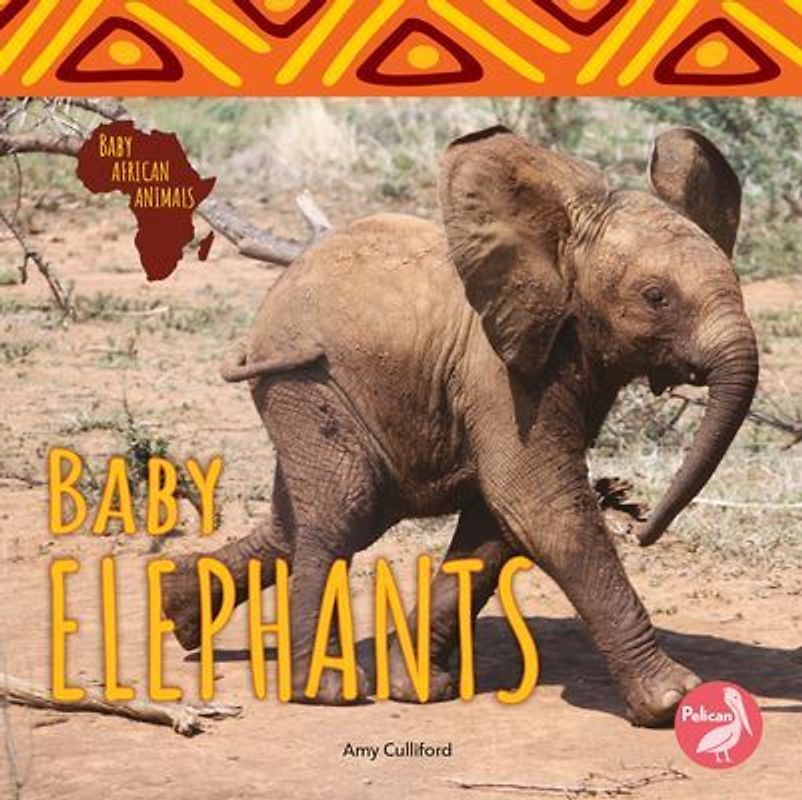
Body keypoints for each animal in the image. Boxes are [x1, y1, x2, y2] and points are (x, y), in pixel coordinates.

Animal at [163, 126, 758, 727]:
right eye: (656, 298)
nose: (640, 523)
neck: (559, 249)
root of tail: (260, 320)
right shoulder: (499, 376)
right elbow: (541, 507)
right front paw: (672, 699)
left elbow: (497, 525)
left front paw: (420, 686)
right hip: (305, 381)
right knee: (342, 512)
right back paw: (323, 691)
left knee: (309, 518)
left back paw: (178, 607)